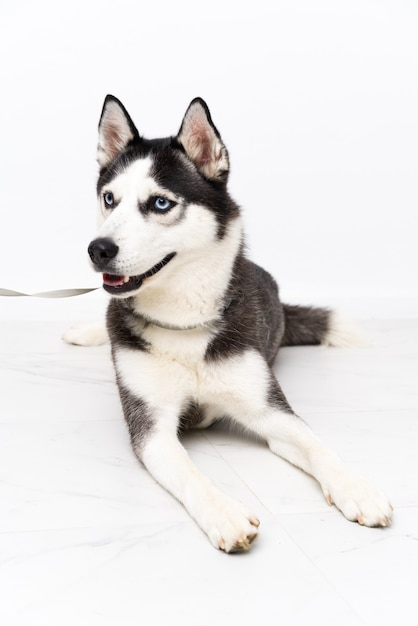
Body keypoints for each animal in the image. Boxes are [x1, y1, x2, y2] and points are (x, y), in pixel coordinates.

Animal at [62, 95, 392, 548]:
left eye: (160, 203)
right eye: (109, 199)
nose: (98, 249)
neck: (183, 323)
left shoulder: (270, 412)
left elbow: (318, 446)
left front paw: (357, 489)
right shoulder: (151, 427)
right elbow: (190, 474)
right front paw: (223, 512)